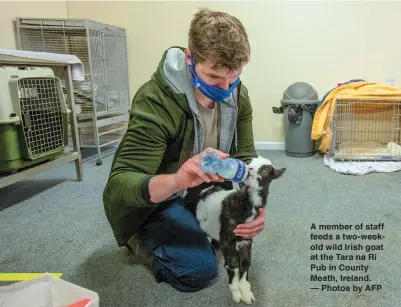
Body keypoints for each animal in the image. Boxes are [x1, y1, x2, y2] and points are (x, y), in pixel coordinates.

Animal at [194, 158, 284, 304]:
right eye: (250, 161)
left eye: (265, 169)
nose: (249, 168)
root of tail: (206, 191)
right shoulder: (228, 237)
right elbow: (233, 264)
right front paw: (236, 292)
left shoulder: (246, 238)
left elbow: (245, 263)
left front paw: (246, 293)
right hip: (202, 219)